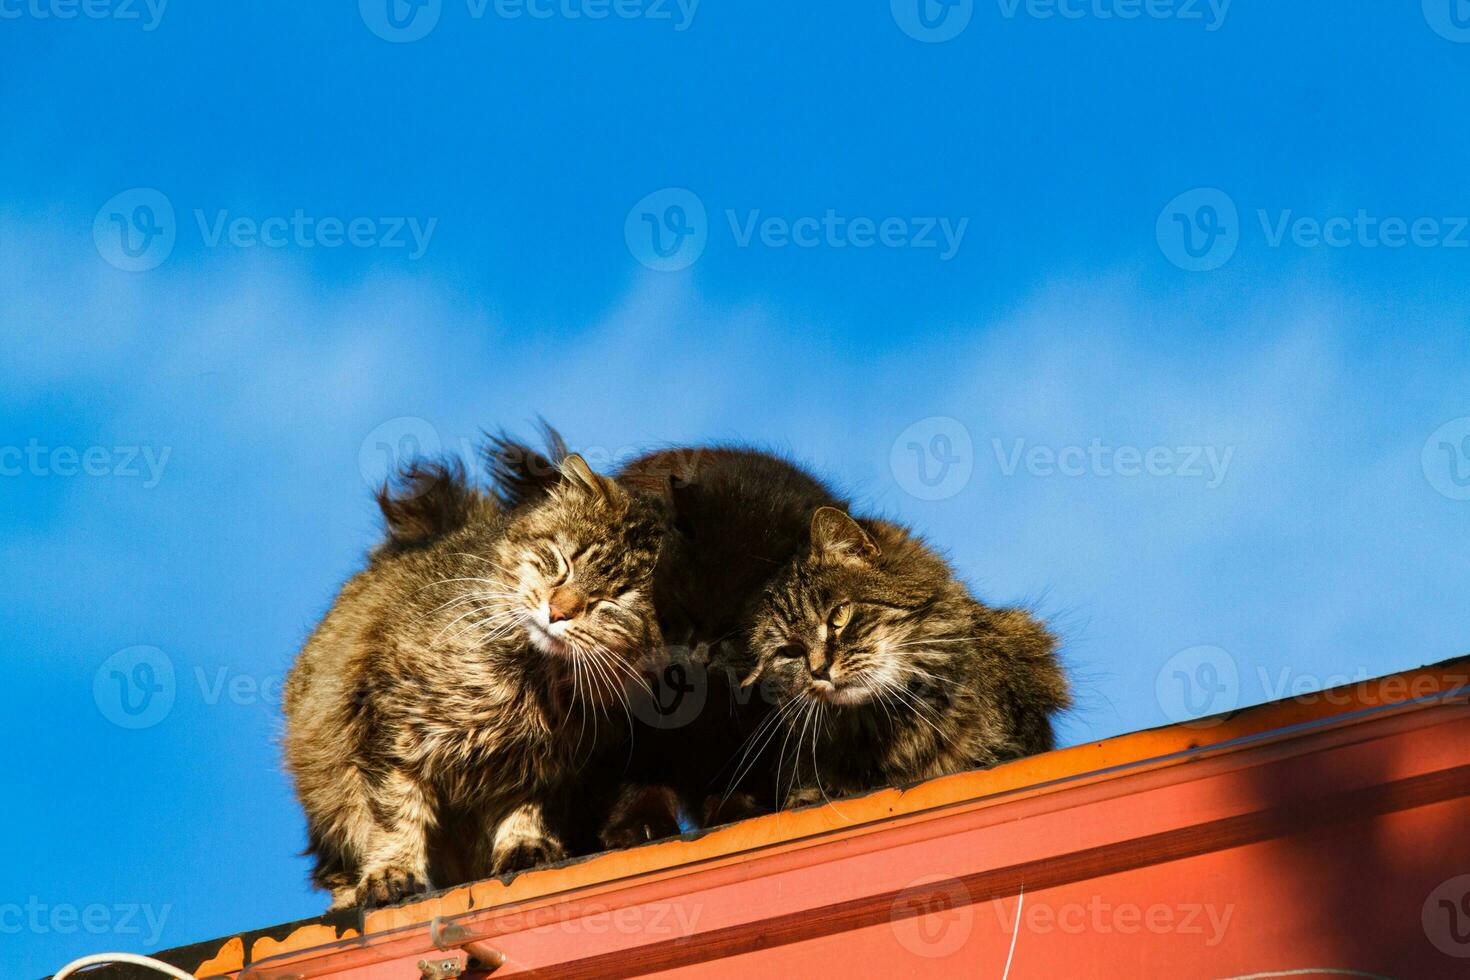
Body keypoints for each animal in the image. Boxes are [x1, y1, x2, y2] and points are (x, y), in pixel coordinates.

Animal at [282, 455, 673, 910]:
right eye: (563, 561)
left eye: (614, 599)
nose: (557, 611)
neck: (530, 679)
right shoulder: (392, 726)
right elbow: (394, 813)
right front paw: (391, 871)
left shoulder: (544, 764)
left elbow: (524, 809)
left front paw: (524, 847)